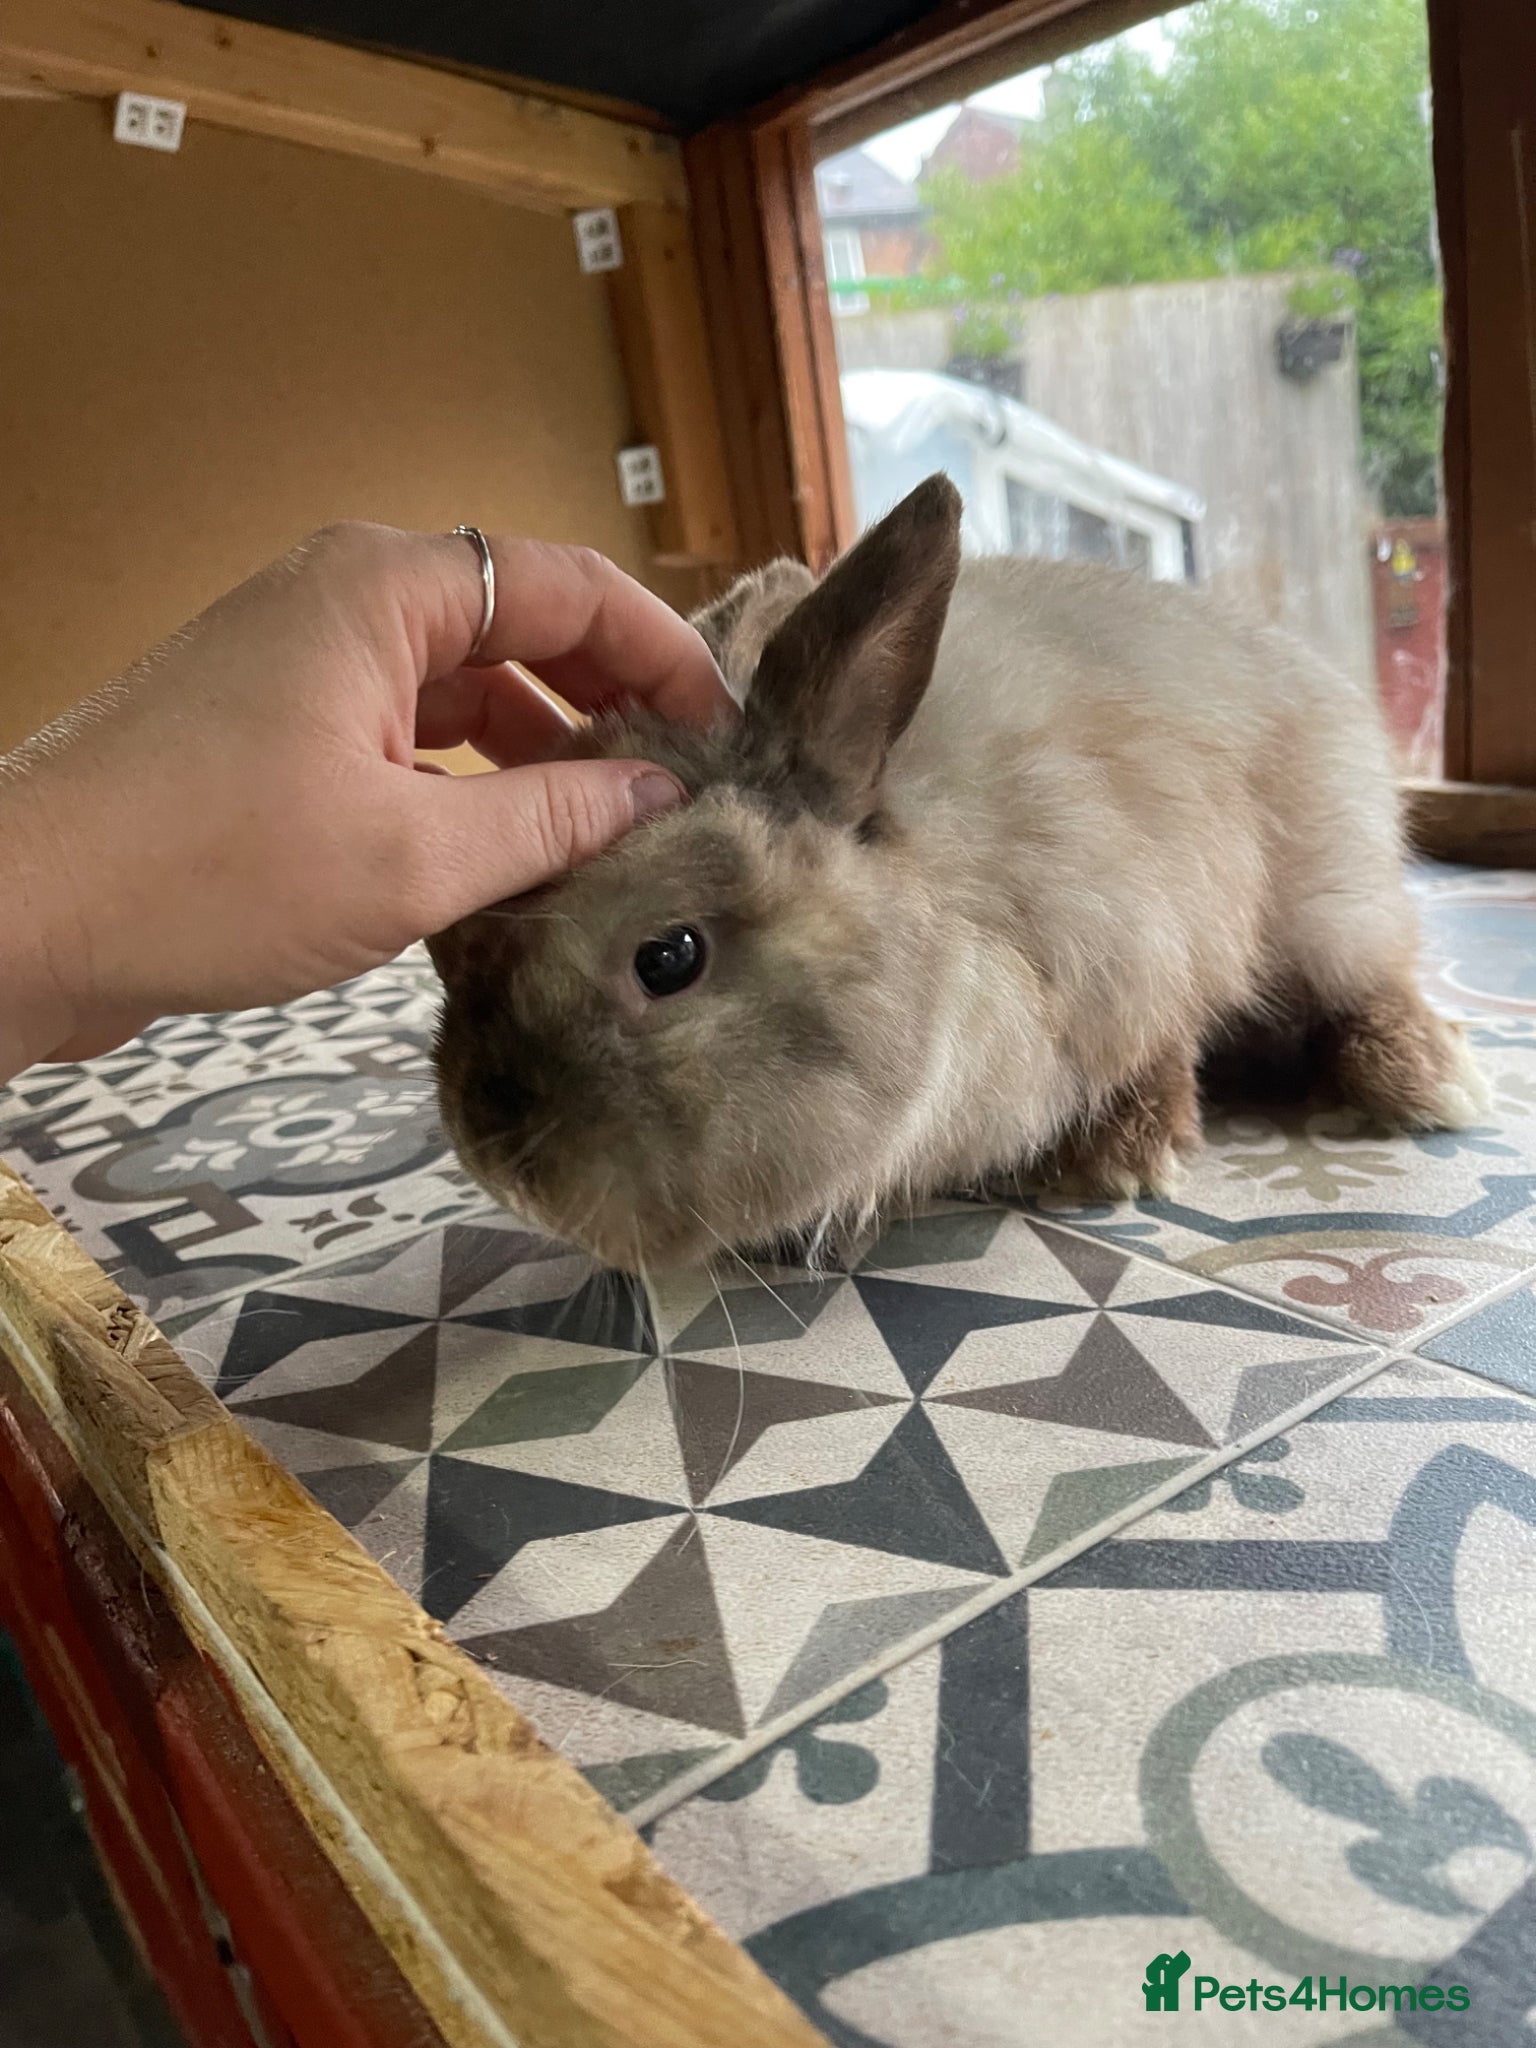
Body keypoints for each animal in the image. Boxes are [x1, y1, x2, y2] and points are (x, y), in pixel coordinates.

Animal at [427, 473, 1485, 1274]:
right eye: (448, 946)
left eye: (668, 958)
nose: (497, 1164)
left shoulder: (1143, 938)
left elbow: (1158, 1047)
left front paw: (1116, 1164)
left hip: (1333, 886)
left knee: (1368, 983)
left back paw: (1429, 1082)